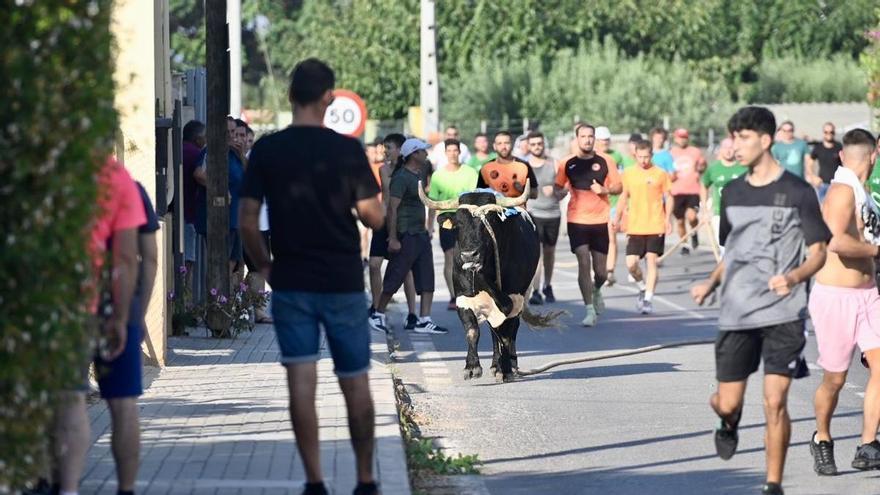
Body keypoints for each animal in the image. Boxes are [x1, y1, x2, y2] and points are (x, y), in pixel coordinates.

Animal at [418, 186, 540, 384]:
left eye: (488, 222)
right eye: (459, 224)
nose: (469, 255)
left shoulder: (513, 298)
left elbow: (505, 334)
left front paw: (505, 369)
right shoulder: (462, 298)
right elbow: (472, 330)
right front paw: (472, 367)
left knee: (510, 330)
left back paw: (509, 364)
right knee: (494, 331)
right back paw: (495, 364)